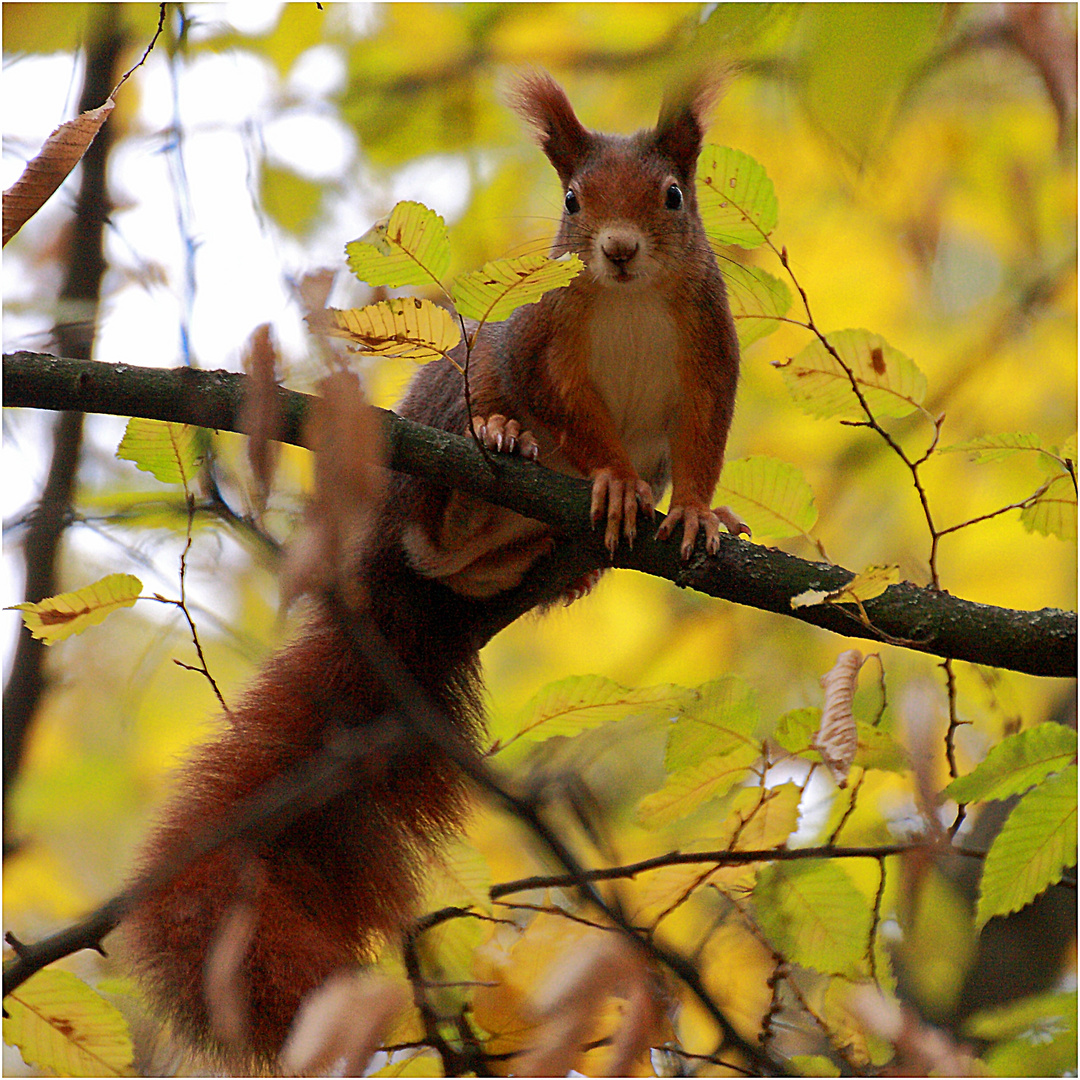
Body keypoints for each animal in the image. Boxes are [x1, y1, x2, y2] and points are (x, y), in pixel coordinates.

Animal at [120, 71, 743, 1067]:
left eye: (674, 197)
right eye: (574, 201)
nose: (615, 251)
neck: (633, 301)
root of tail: (396, 584)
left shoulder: (711, 345)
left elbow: (703, 440)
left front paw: (694, 511)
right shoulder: (539, 343)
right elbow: (574, 418)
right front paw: (606, 479)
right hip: (450, 403)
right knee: (448, 496)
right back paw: (492, 456)